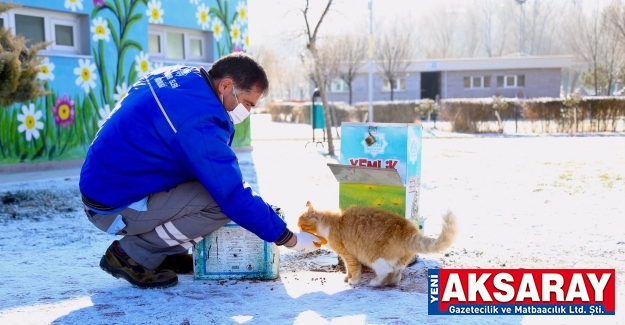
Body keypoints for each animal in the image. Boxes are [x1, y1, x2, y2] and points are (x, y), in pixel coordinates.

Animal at [294, 200, 456, 286]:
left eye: (302, 225)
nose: (298, 230)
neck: (332, 223)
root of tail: (408, 230)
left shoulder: (348, 254)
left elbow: (353, 269)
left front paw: (353, 281)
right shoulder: (345, 256)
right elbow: (347, 268)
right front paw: (347, 277)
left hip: (374, 258)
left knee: (387, 270)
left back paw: (375, 283)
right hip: (400, 261)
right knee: (397, 273)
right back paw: (389, 283)